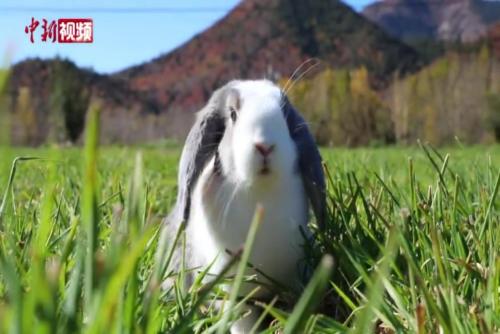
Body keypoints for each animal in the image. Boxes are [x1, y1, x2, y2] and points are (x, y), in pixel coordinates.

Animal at [164, 79, 326, 334]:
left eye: (284, 113)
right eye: (232, 114)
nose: (265, 146)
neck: (260, 195)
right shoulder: (232, 293)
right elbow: (243, 319)